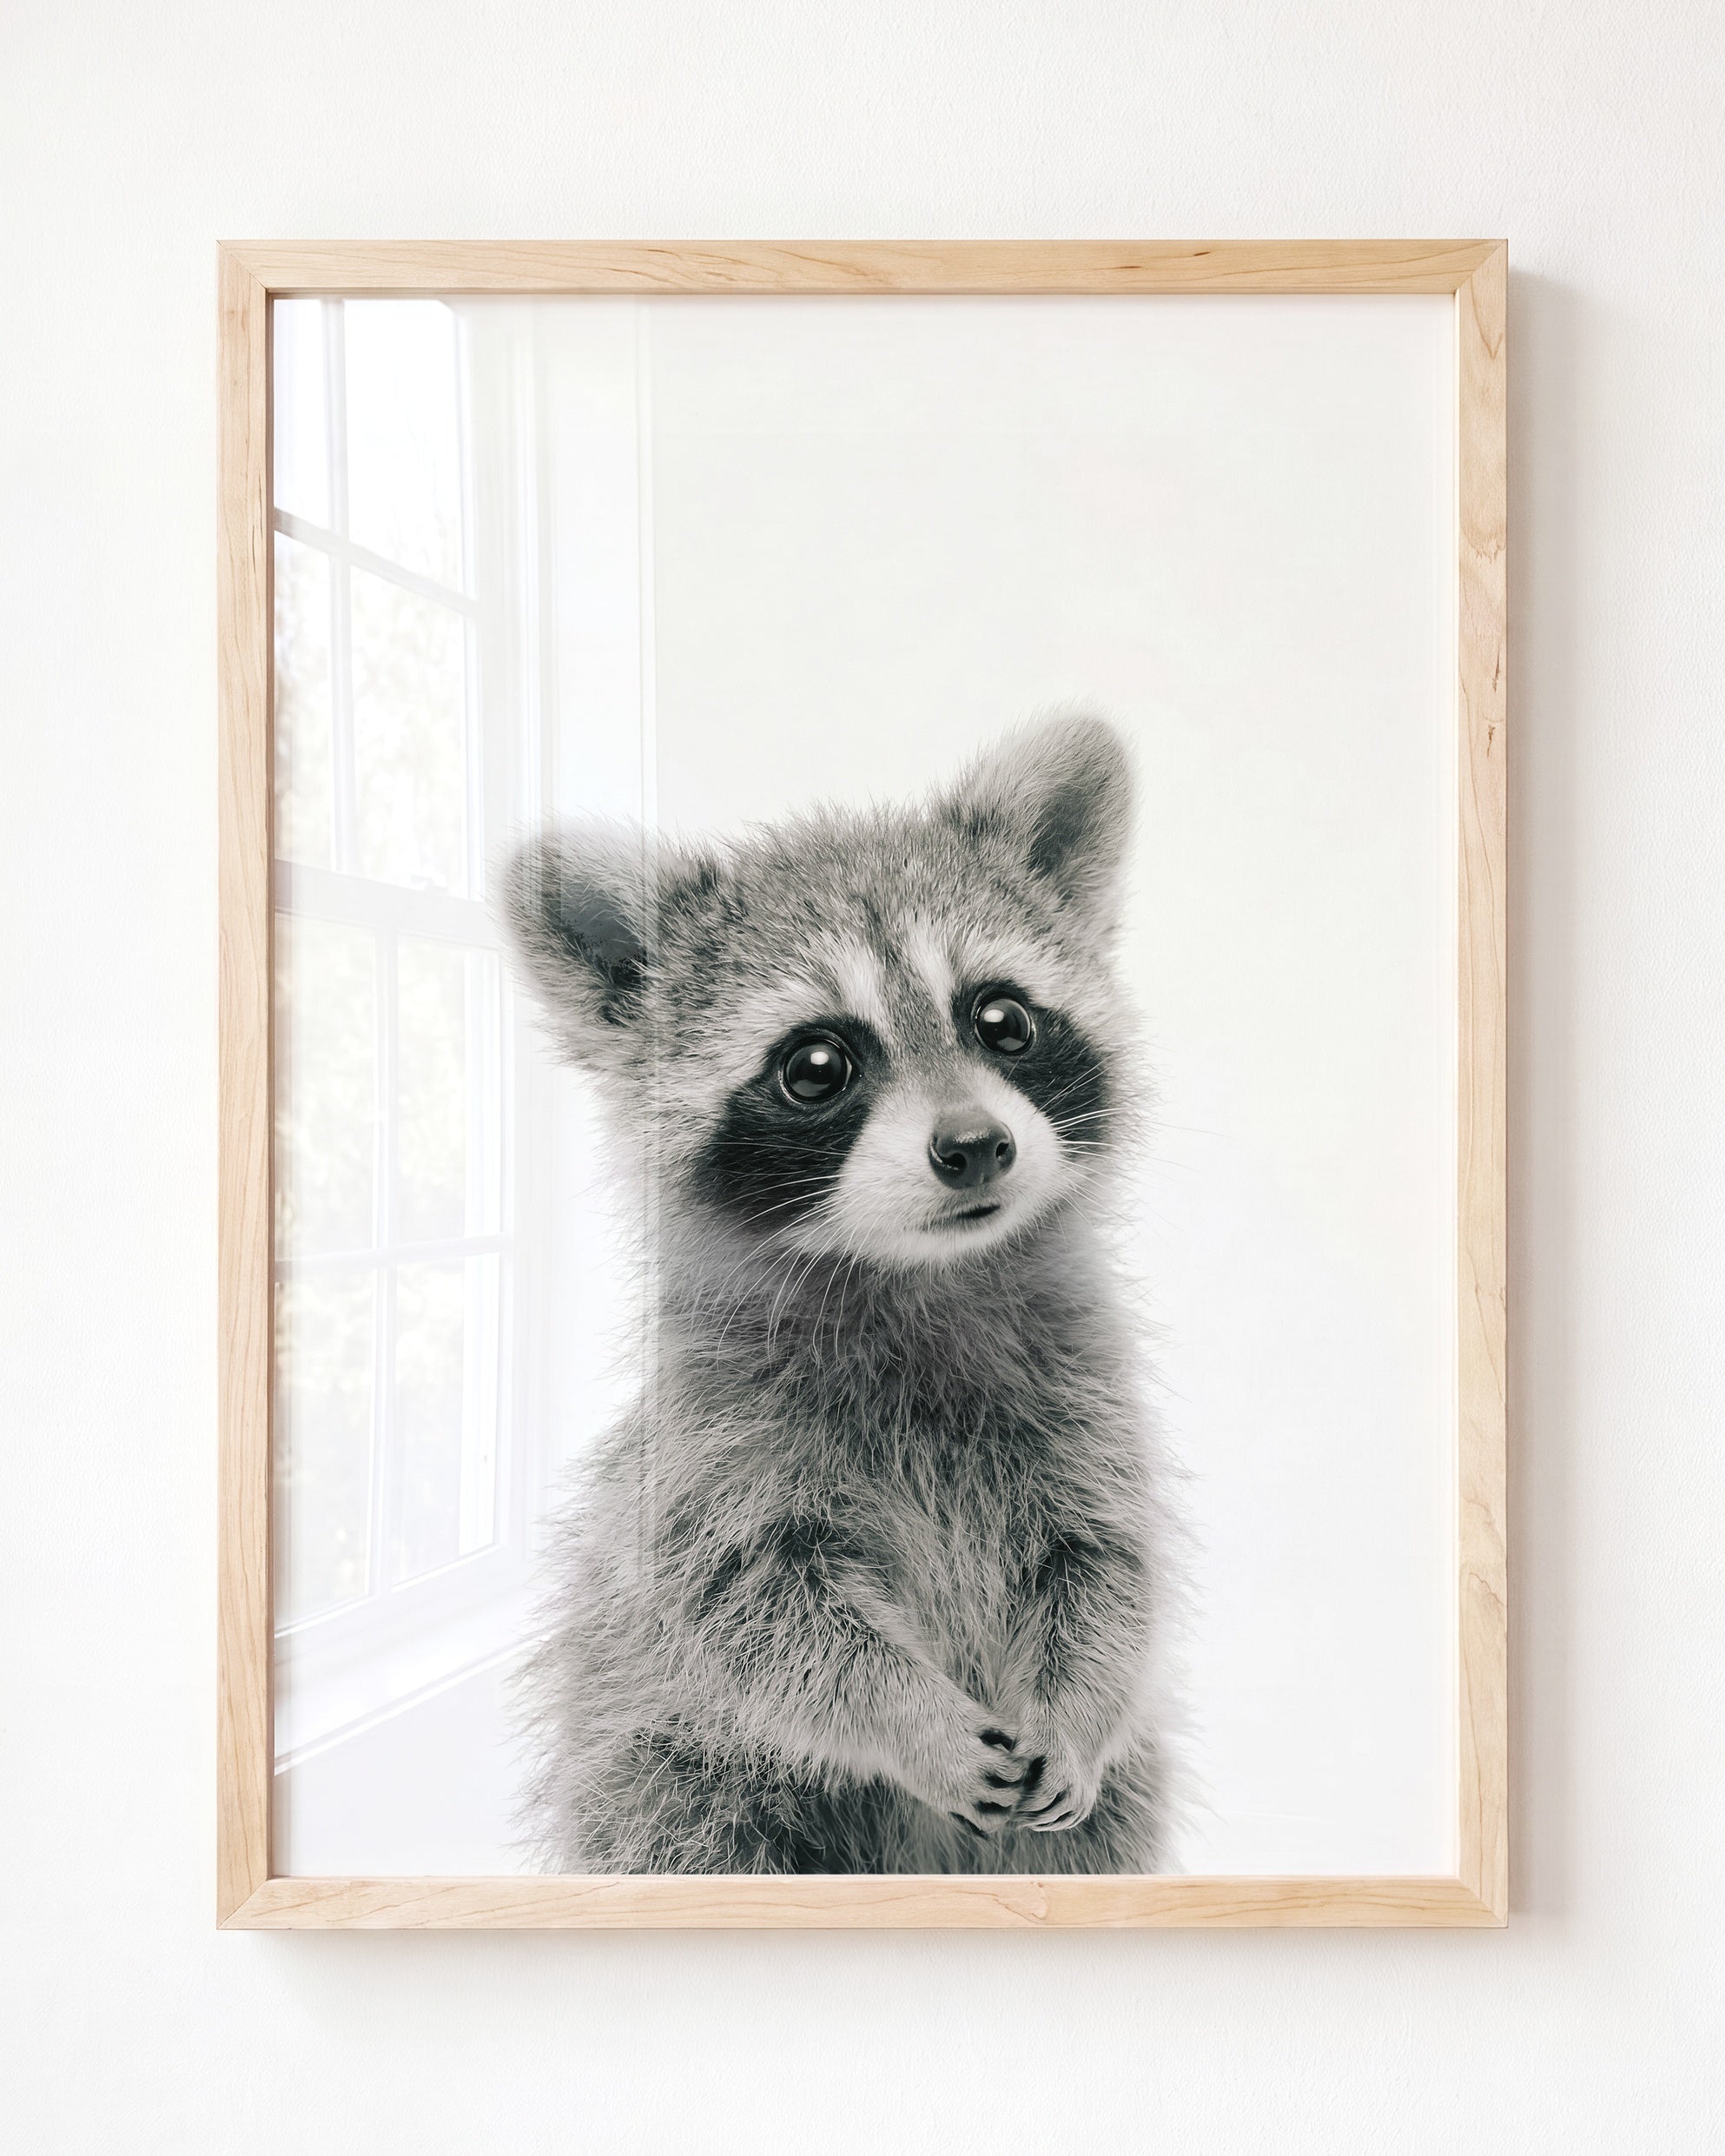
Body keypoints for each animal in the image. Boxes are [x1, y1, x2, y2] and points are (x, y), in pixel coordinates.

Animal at [503, 714, 1182, 1874]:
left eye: (1003, 1019)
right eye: (817, 1064)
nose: (975, 1146)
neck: (918, 1274)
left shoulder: (1087, 1406)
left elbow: (1106, 1565)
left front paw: (1080, 1705)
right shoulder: (708, 1456)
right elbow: (759, 1618)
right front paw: (913, 1721)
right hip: (669, 1778)